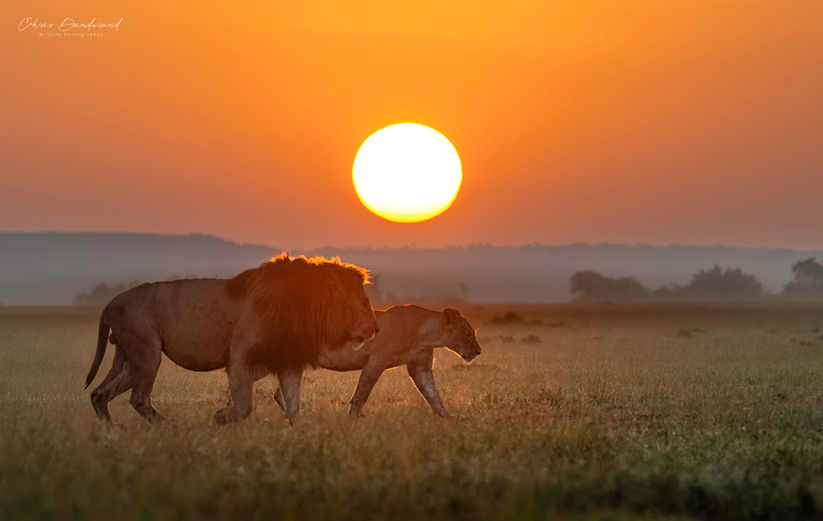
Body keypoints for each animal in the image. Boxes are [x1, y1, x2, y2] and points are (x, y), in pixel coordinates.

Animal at [85, 254, 379, 425]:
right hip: (147, 353)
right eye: (363, 302)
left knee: (99, 394)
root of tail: (111, 303)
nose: (376, 327)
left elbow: (294, 407)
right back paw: (167, 427)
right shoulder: (239, 355)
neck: (306, 307)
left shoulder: (288, 361)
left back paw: (110, 434)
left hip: (129, 357)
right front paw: (220, 417)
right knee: (138, 398)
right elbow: (244, 404)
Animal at [270, 305, 481, 417]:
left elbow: (433, 395)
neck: (425, 335)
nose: (479, 352)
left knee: (280, 393)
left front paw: (450, 418)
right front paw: (353, 420)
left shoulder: (420, 367)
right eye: (468, 334)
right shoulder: (375, 361)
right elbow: (361, 395)